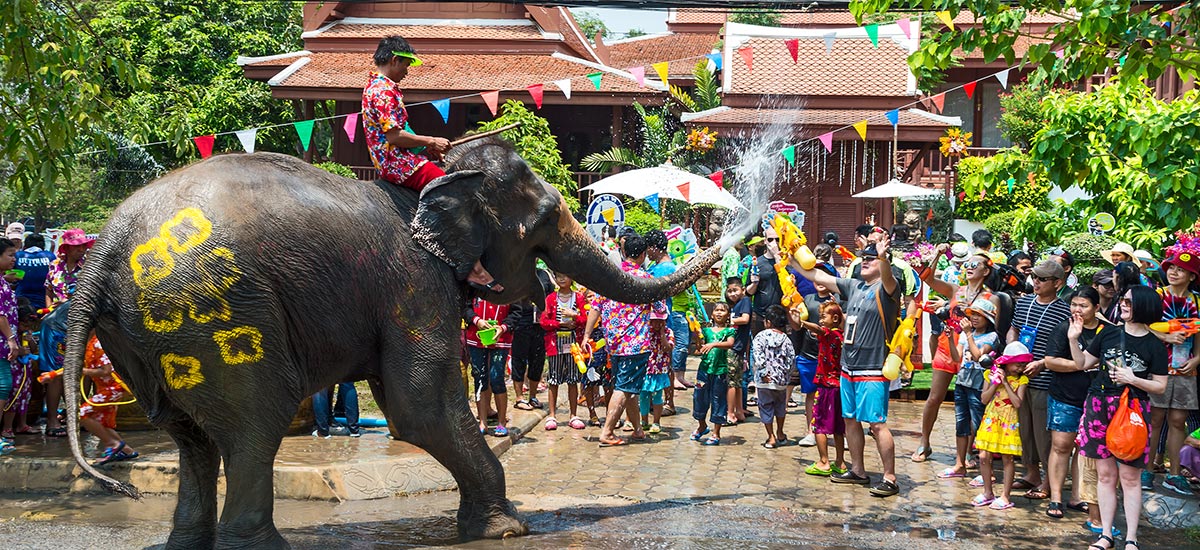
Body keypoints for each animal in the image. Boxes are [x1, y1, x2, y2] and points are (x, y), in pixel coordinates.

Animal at [58, 136, 720, 545]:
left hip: (146, 339)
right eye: (539, 225)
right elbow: (417, 405)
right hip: (212, 315)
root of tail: (102, 254)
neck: (446, 175)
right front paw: (507, 530)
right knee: (253, 426)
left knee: (192, 437)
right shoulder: (413, 279)